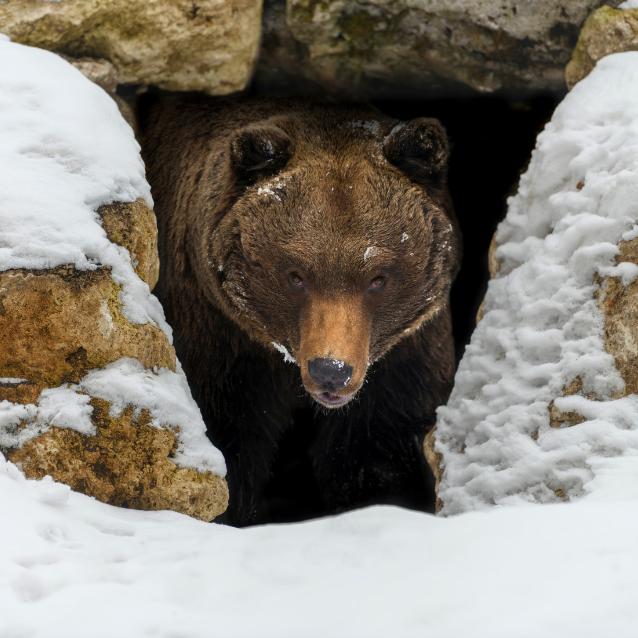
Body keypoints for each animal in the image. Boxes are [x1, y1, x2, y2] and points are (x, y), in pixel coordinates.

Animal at [141, 97, 460, 528]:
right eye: (296, 275)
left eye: (378, 277)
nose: (331, 370)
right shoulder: (221, 341)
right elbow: (229, 440)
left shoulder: (403, 361)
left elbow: (376, 454)